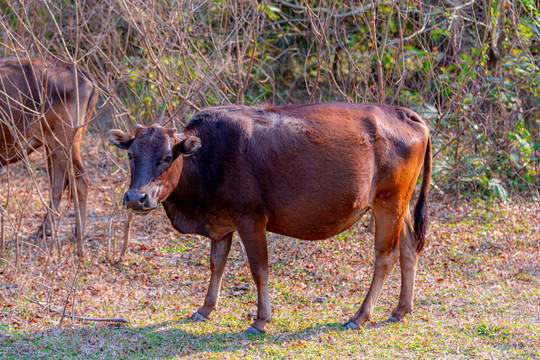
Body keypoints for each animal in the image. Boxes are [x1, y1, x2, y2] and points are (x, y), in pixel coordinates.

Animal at [0, 57, 98, 253]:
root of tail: (79, 71)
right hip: (52, 147)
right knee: (58, 185)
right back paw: (44, 231)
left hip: (65, 144)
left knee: (80, 179)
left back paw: (78, 236)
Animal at [108, 102, 430, 334]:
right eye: (131, 155)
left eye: (166, 157)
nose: (136, 197)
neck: (208, 159)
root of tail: (405, 113)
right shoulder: (222, 224)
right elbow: (216, 265)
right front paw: (205, 309)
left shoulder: (251, 219)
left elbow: (259, 269)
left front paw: (260, 320)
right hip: (398, 203)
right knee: (409, 248)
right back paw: (401, 310)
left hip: (388, 202)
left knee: (385, 257)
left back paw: (360, 316)